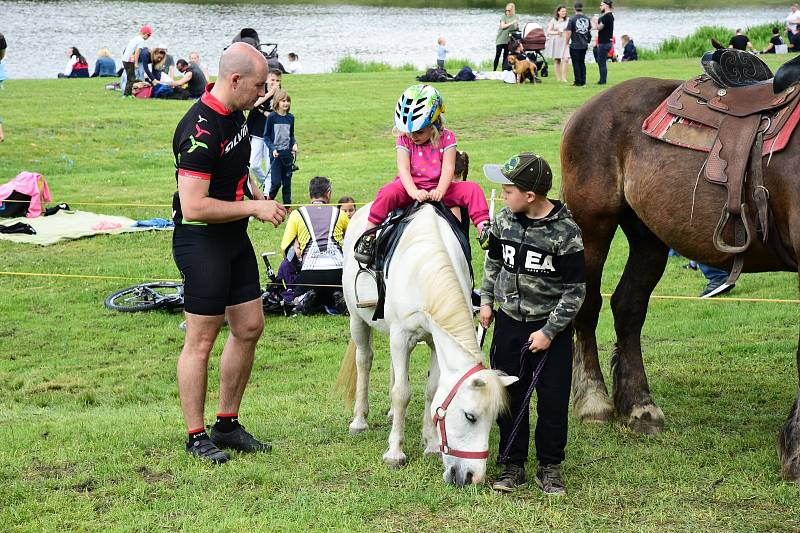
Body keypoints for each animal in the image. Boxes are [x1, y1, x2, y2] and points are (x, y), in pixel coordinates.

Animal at [338, 204, 520, 486]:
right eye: (470, 416)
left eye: (494, 421)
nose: (473, 478)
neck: (424, 269)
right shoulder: (401, 337)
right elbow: (402, 393)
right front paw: (395, 453)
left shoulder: (434, 340)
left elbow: (432, 390)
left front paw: (432, 444)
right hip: (357, 320)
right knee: (364, 361)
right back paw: (359, 421)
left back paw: (393, 415)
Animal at [560, 77, 800, 480]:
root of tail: (590, 107)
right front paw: (795, 448)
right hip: (592, 227)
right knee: (587, 308)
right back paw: (594, 401)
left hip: (649, 236)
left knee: (628, 307)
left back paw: (639, 405)